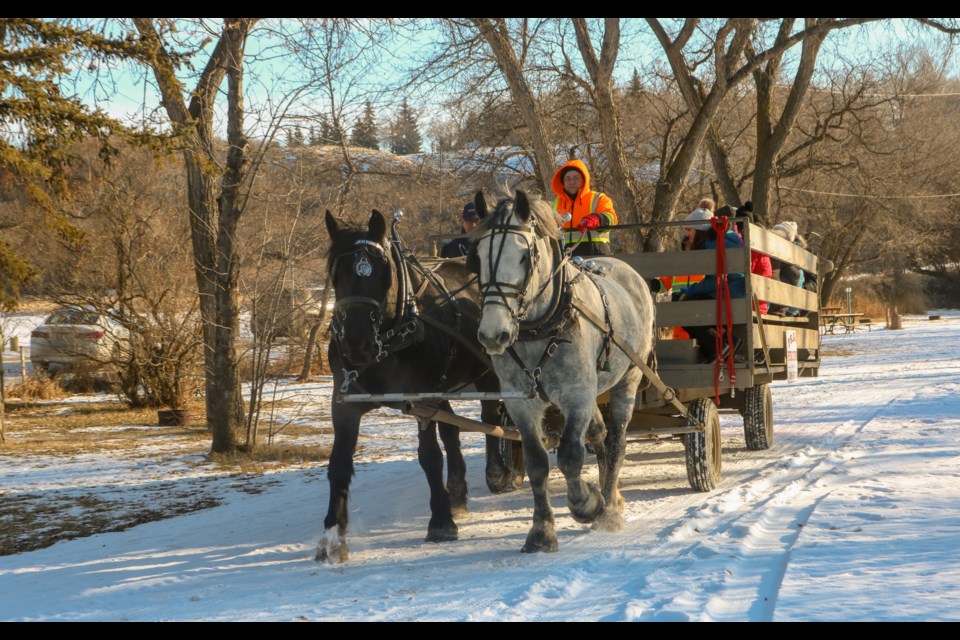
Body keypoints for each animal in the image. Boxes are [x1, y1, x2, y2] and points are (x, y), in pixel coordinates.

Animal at [316, 208, 520, 564]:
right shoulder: (344, 404)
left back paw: (497, 473)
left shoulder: (423, 397)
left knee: (491, 417)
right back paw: (457, 493)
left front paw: (440, 522)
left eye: (382, 271)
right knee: (452, 427)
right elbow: (338, 465)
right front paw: (332, 538)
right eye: (336, 273)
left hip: (488, 370)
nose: (356, 344)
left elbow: (429, 456)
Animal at [470, 188, 656, 552]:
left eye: (525, 257)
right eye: (479, 256)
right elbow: (538, 463)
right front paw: (541, 531)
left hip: (628, 377)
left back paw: (609, 508)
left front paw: (588, 503)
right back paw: (612, 495)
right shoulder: (521, 404)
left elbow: (570, 455)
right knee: (599, 435)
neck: (540, 328)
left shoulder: (576, 396)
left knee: (616, 440)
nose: (492, 334)